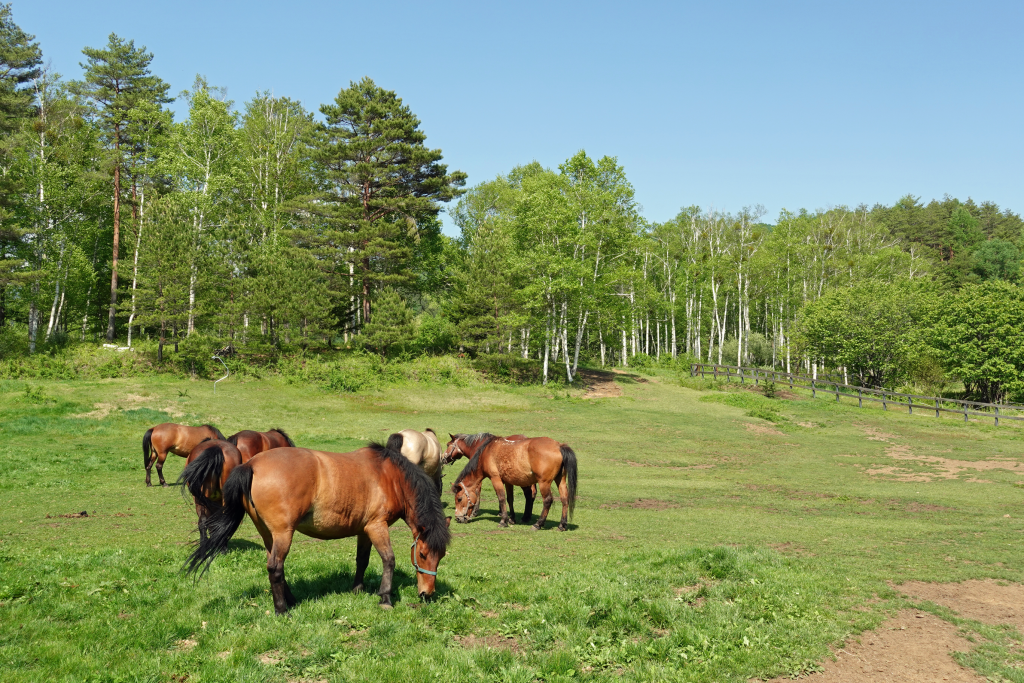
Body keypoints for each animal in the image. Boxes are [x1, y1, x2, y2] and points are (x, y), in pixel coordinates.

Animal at [183, 433, 452, 614]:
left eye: (441, 556)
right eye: (423, 554)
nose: (427, 593)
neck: (389, 476)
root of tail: (251, 464)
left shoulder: (365, 530)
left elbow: (362, 560)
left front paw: (357, 589)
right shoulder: (377, 526)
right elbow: (389, 560)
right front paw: (385, 598)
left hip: (268, 533)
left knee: (275, 565)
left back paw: (290, 600)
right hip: (283, 533)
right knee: (275, 567)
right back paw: (282, 609)